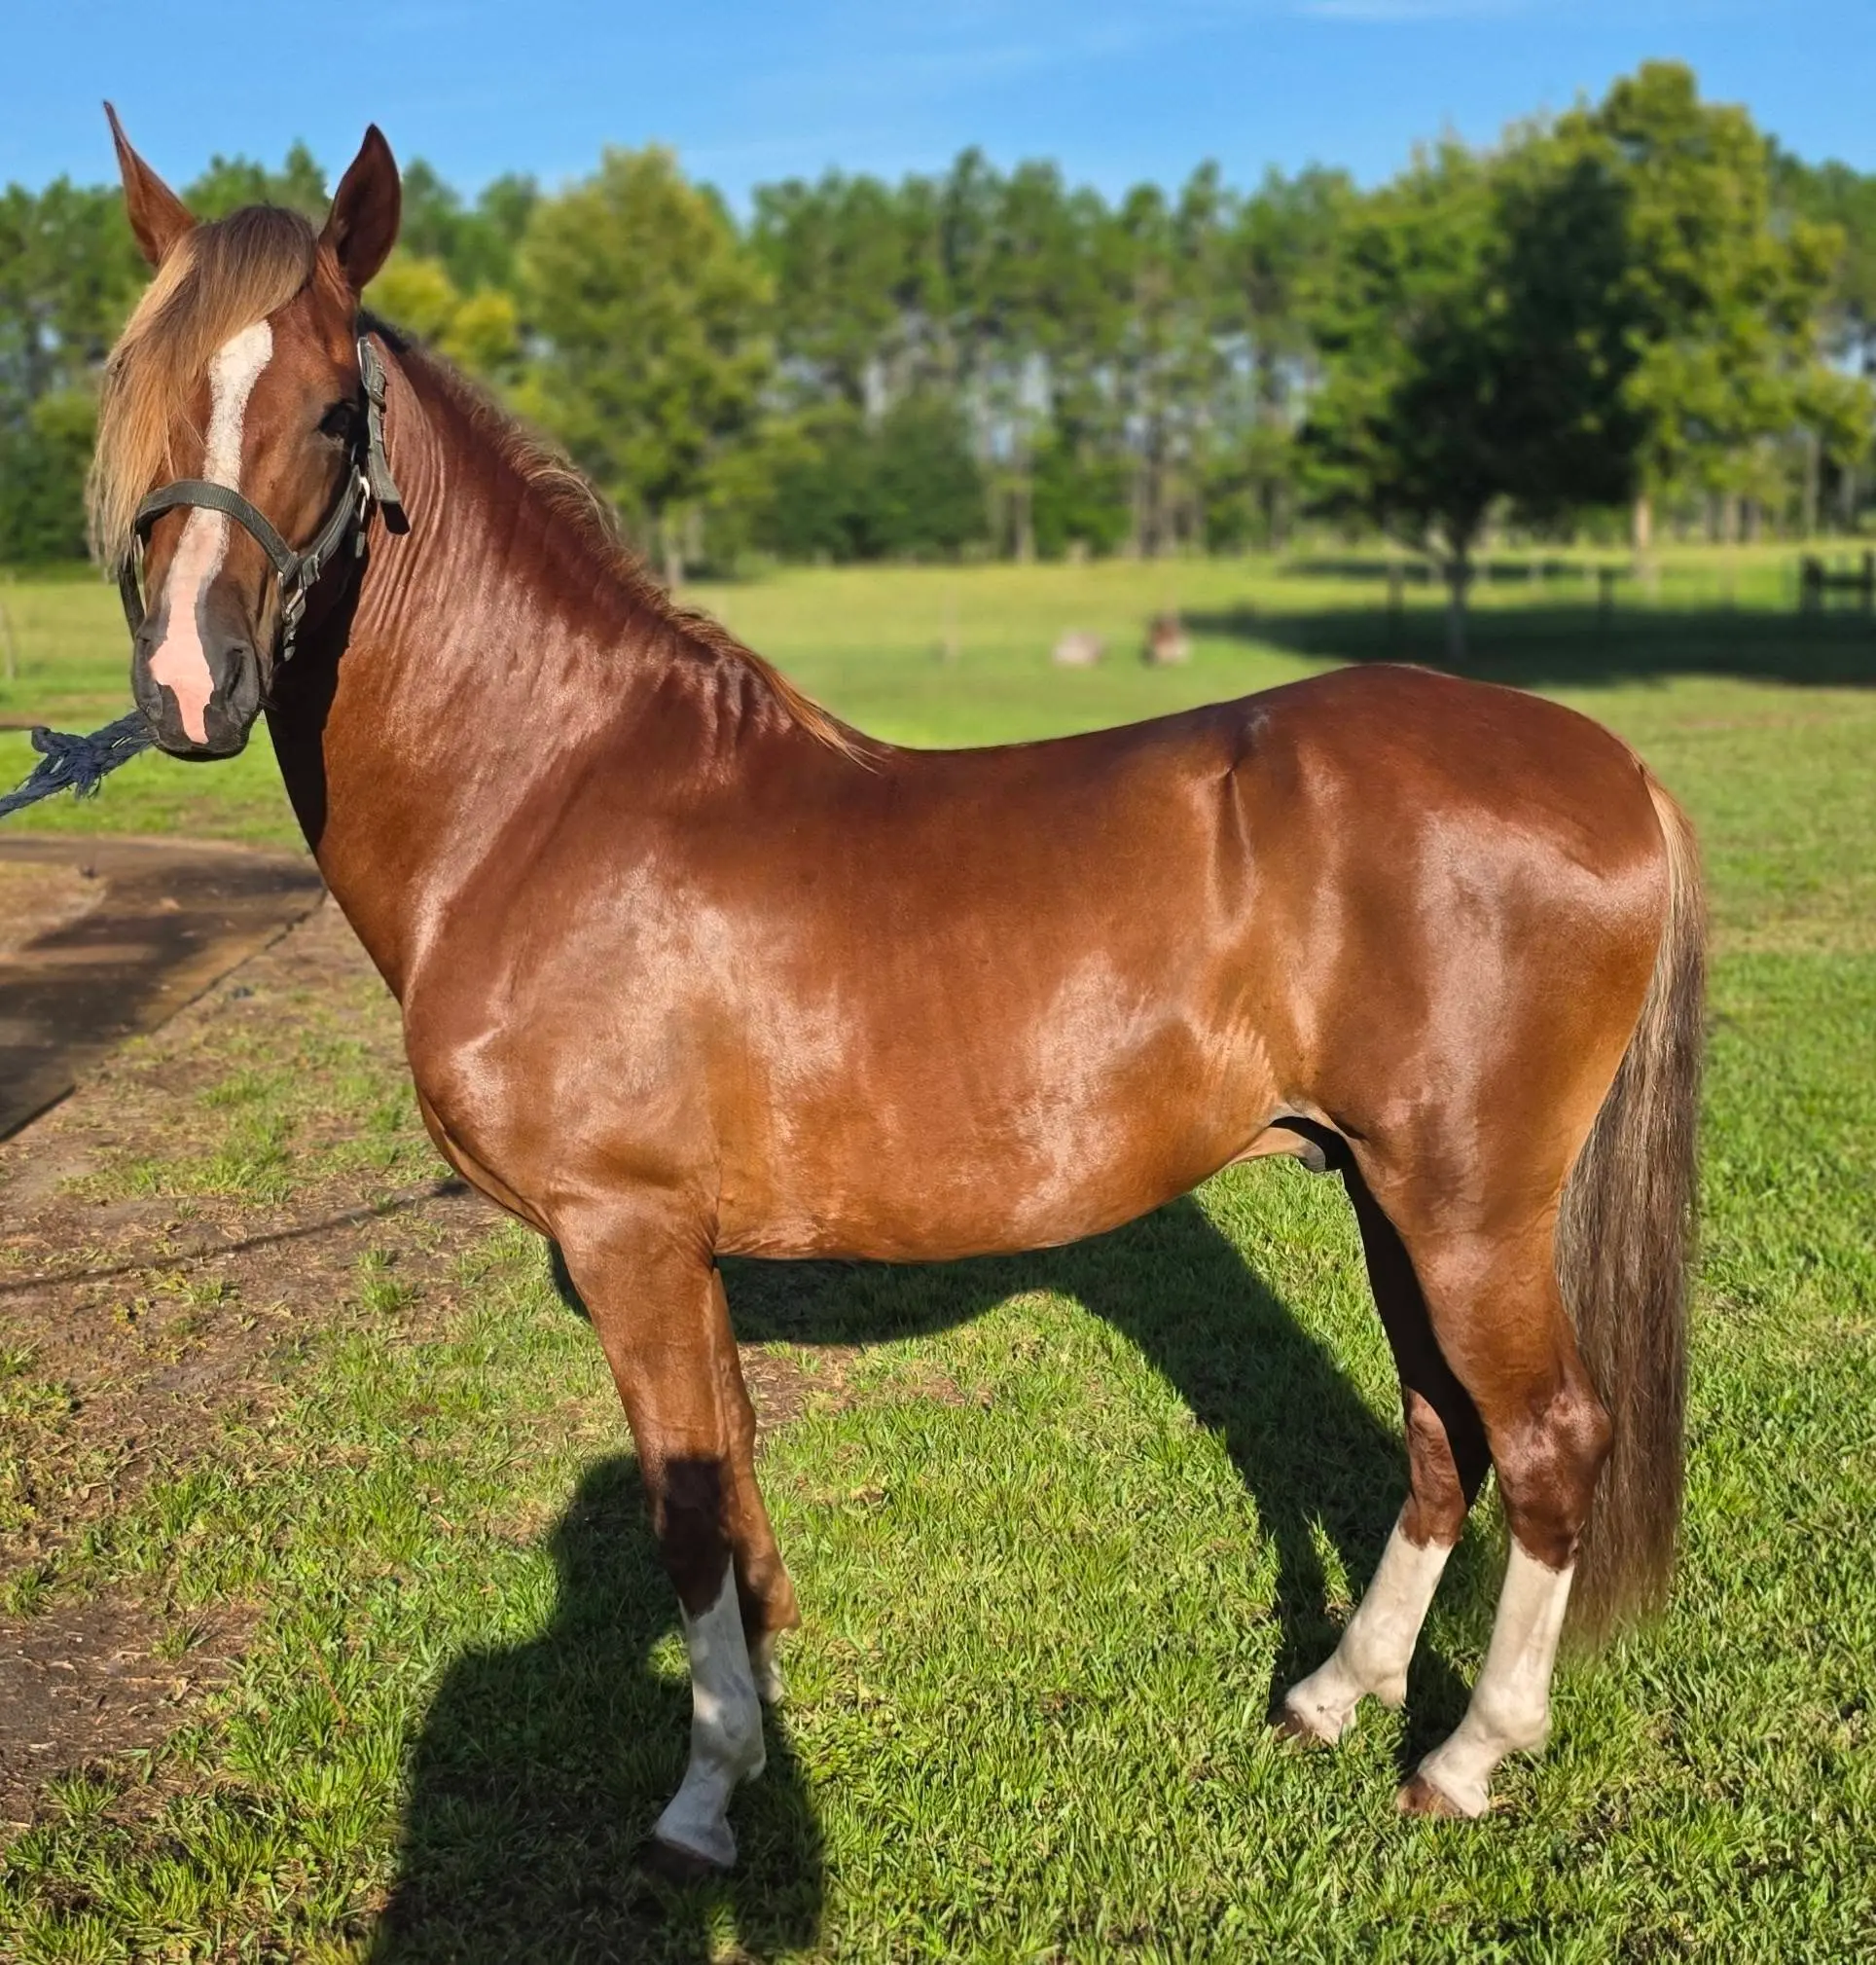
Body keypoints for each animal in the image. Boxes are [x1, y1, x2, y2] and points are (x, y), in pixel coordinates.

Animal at [94, 114, 1703, 1869]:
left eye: (332, 407)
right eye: (142, 388)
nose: (187, 686)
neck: (547, 792)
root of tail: (1610, 763)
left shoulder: (628, 1231)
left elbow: (682, 1513)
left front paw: (706, 1794)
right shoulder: (676, 1250)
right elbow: (727, 1486)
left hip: (1466, 1205)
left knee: (1544, 1436)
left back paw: (1469, 1752)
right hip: (1387, 1188)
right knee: (1436, 1430)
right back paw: (1333, 1694)